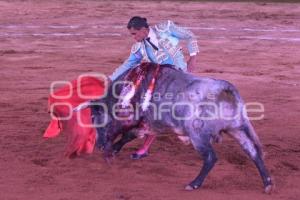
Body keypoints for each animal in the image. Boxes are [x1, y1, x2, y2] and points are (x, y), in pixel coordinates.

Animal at [81, 63, 274, 193]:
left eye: (94, 117)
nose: (98, 145)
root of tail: (225, 89)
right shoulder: (151, 122)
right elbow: (132, 135)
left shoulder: (141, 118)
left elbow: (129, 134)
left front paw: (112, 149)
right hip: (237, 129)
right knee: (252, 152)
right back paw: (267, 183)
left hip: (198, 136)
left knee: (211, 157)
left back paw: (194, 184)